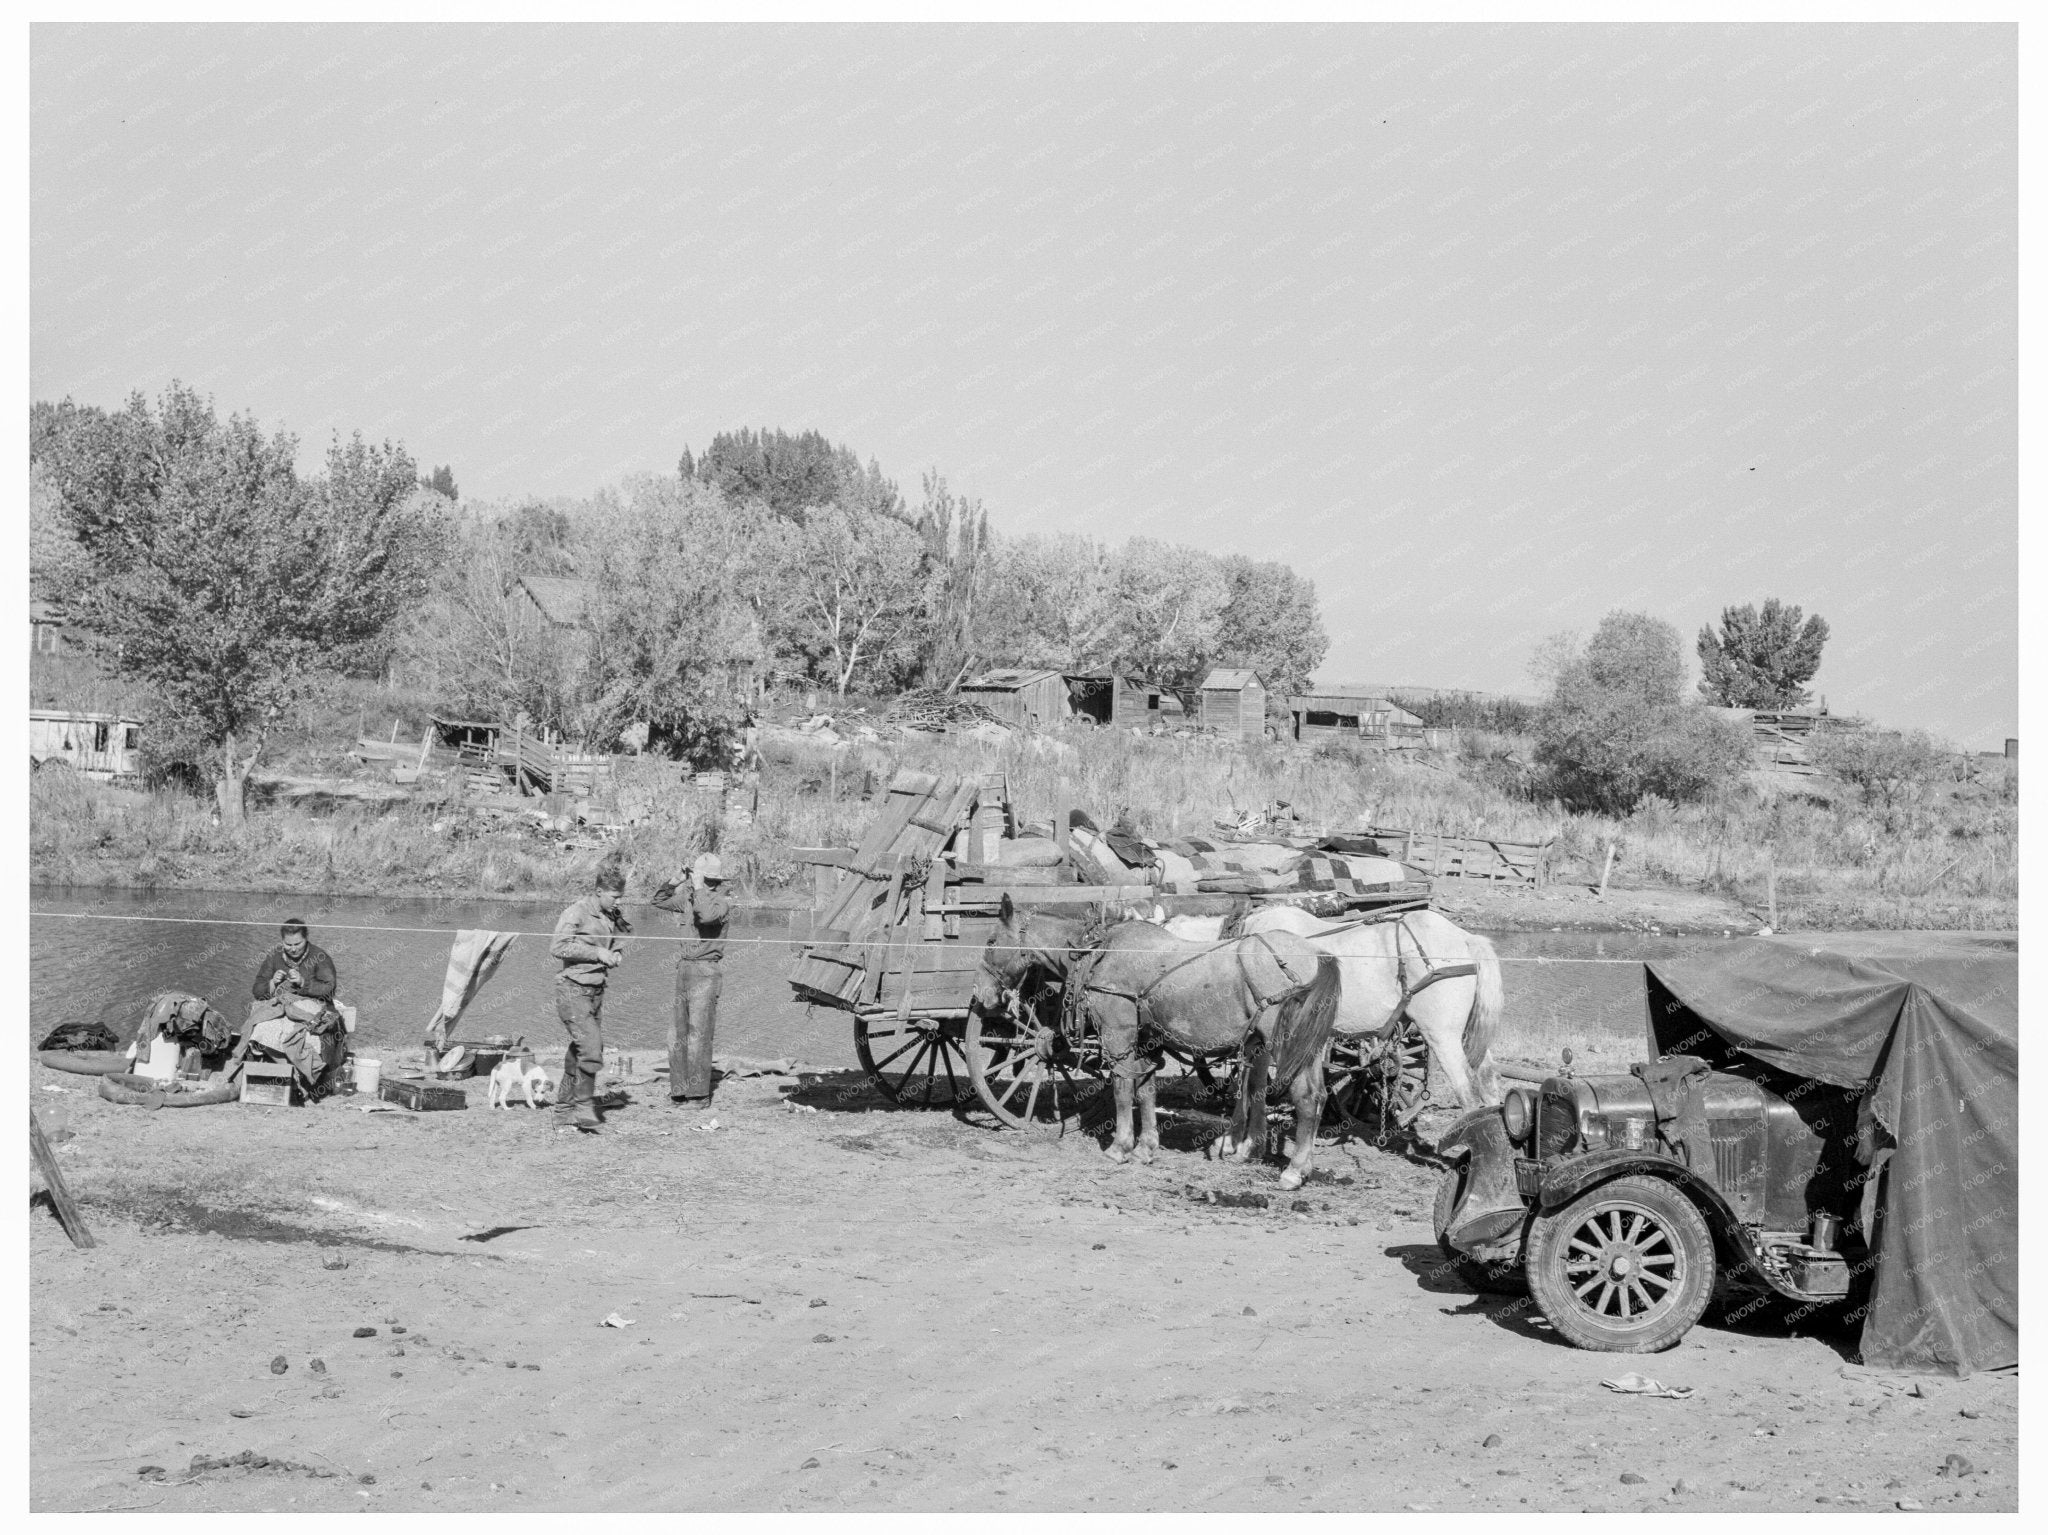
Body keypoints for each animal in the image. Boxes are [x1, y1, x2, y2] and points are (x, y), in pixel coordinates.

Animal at [970, 888, 1343, 1187]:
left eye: (990, 941)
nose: (980, 994)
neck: (1100, 954)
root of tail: (1316, 955)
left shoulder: (1118, 1036)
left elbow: (1122, 1090)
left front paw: (1120, 1147)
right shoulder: (1148, 1040)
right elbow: (1146, 1091)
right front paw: (1145, 1149)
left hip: (1287, 1045)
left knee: (1306, 1099)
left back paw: (1293, 1171)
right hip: (1307, 1047)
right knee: (1319, 1096)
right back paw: (1301, 1165)